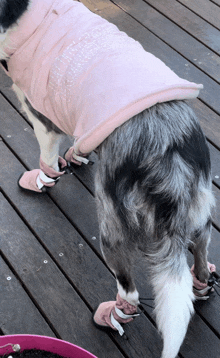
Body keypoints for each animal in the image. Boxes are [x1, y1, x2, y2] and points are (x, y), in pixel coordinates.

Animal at [0, 0, 216, 358]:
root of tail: (169, 156)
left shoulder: (42, 120)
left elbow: (47, 160)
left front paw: (43, 179)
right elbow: (79, 141)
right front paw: (76, 155)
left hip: (112, 231)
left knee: (130, 294)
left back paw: (112, 315)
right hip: (201, 214)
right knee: (199, 256)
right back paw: (201, 285)